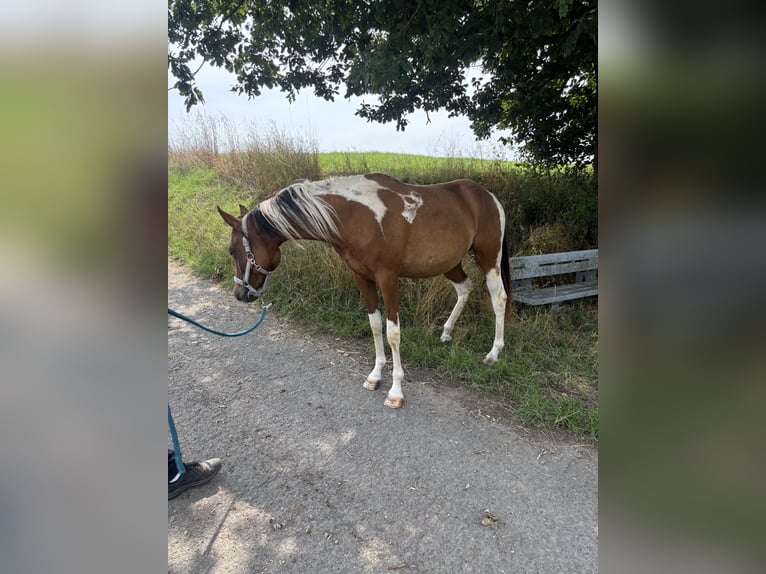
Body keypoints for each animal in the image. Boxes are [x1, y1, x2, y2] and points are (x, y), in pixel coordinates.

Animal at [217, 173, 511, 408]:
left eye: (232, 250)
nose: (240, 294)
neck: (353, 215)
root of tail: (489, 197)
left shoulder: (388, 278)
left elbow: (393, 332)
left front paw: (395, 391)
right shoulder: (361, 277)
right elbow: (374, 324)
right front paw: (375, 375)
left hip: (488, 257)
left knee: (499, 298)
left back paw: (493, 354)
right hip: (450, 263)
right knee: (464, 289)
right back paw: (447, 333)